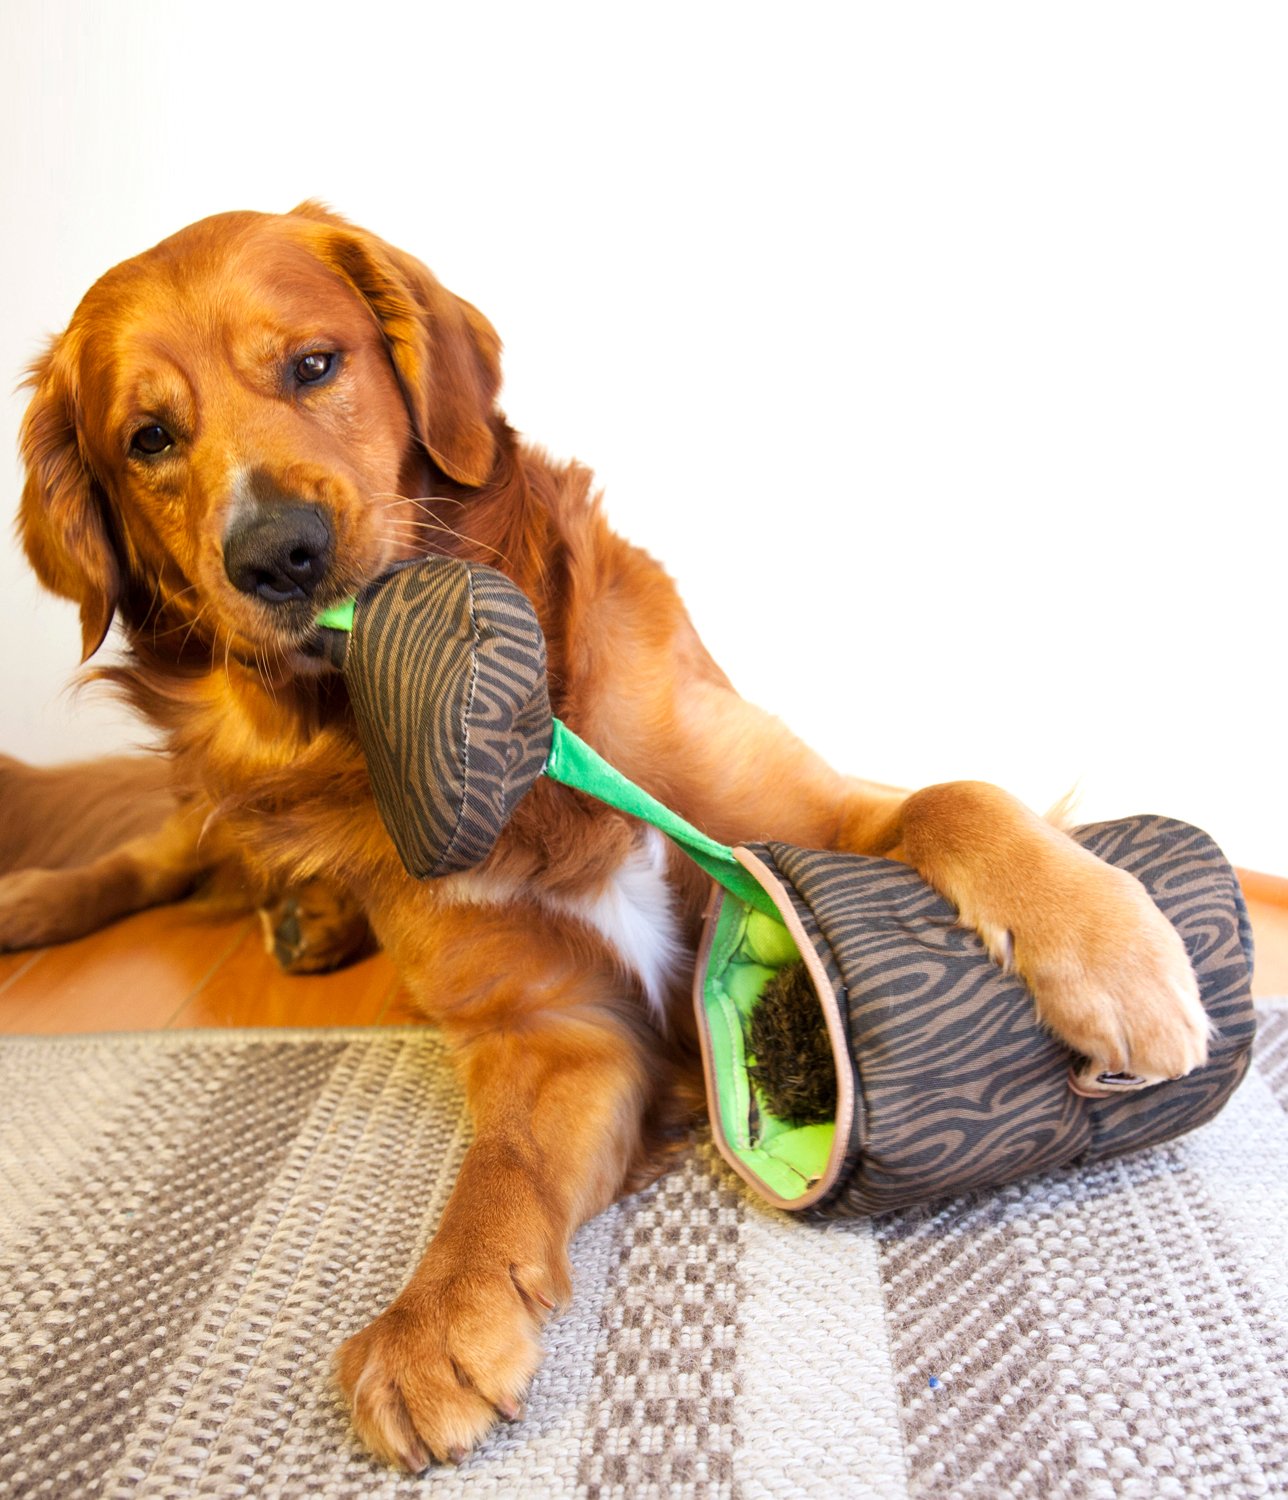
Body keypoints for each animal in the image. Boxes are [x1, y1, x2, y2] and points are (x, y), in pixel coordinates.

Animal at [7, 205, 1211, 1470]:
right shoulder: (554, 1027)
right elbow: (493, 1172)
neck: (518, 735)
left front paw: (1112, 957)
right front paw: (435, 1317)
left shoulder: (800, 819)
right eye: (148, 439)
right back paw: (51, 903)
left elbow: (954, 797)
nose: (279, 553)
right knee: (155, 853)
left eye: (315, 366)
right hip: (222, 806)